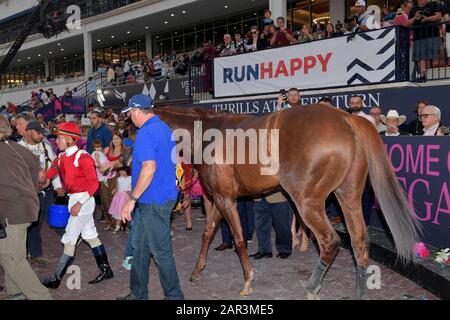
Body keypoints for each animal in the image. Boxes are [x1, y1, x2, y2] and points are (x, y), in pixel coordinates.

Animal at [153, 104, 420, 300]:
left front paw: (247, 282)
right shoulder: (221, 198)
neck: (209, 134)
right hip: (349, 197)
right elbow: (208, 232)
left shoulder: (224, 198)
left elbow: (238, 238)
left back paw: (312, 288)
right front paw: (196, 271)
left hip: (308, 202)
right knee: (359, 242)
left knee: (330, 241)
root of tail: (346, 118)